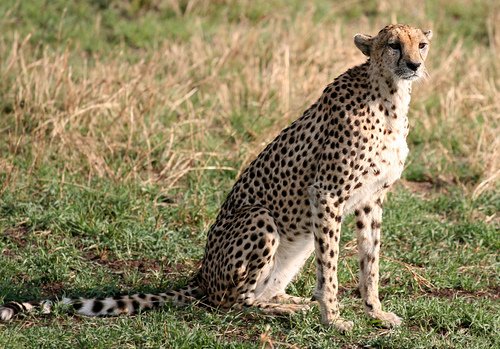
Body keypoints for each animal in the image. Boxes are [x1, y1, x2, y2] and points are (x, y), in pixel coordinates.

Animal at [0, 23, 432, 328]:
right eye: (393, 45)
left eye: (421, 45)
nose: (414, 65)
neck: (389, 97)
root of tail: (201, 276)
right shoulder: (327, 195)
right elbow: (331, 271)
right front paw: (335, 319)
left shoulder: (369, 200)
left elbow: (369, 262)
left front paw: (375, 312)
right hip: (261, 218)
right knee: (229, 302)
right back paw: (283, 310)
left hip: (298, 239)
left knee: (257, 292)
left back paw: (287, 300)